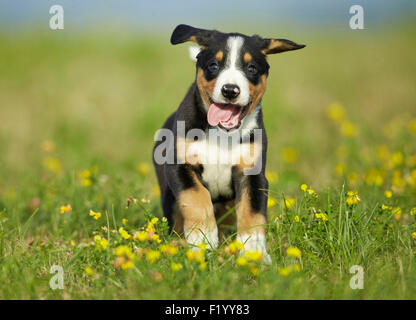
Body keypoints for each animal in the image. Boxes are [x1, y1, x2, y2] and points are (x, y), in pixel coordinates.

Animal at [154, 23, 304, 262]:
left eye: (251, 68)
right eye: (214, 65)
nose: (230, 90)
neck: (221, 135)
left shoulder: (252, 174)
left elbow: (252, 213)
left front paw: (253, 251)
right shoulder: (178, 167)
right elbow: (196, 196)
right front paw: (202, 239)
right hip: (168, 195)